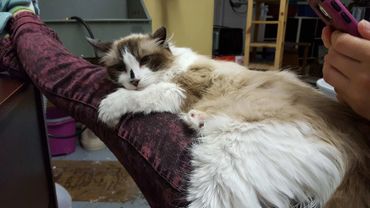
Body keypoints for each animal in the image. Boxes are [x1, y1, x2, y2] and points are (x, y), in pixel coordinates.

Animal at [87, 26, 370, 207]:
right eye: (121, 67)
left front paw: (108, 107)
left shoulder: (181, 89)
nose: (134, 79)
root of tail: (357, 145)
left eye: (145, 60)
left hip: (221, 168)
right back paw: (195, 119)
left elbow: (141, 96)